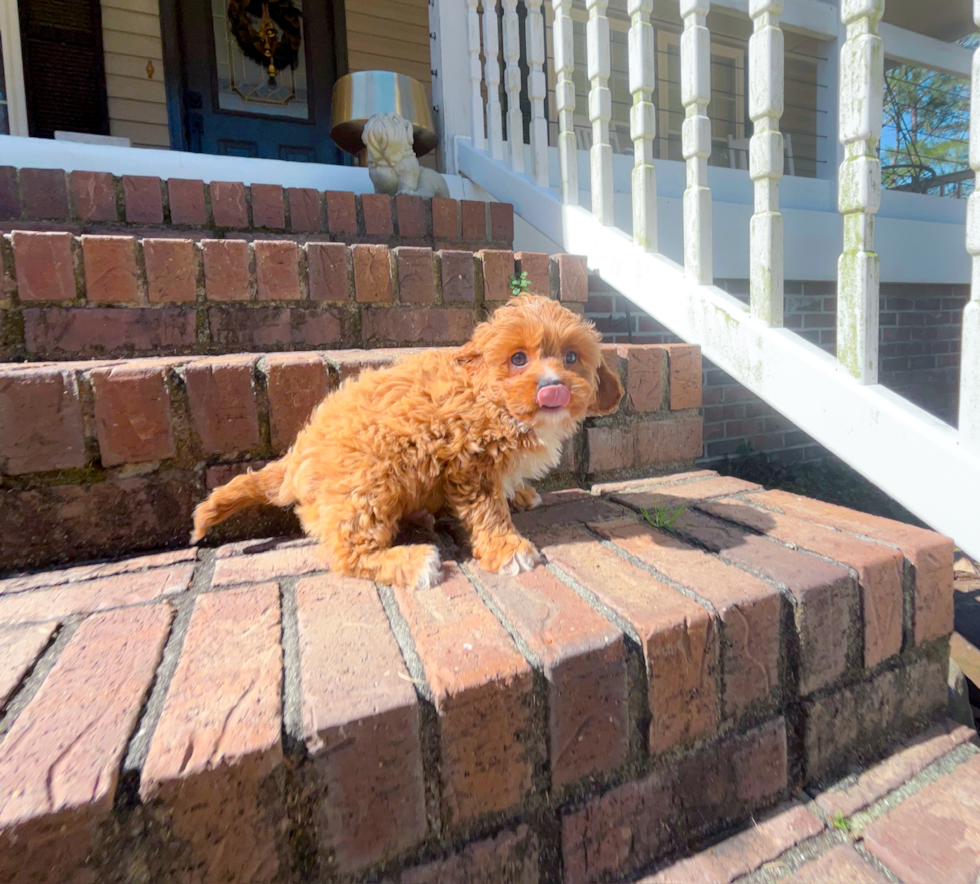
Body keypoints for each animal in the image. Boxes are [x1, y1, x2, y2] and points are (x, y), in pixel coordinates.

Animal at [190, 294, 620, 592]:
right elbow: (488, 511)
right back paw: (412, 562)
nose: (554, 388)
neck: (493, 399)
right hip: (371, 481)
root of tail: (294, 459)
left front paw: (521, 493)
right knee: (347, 551)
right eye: (518, 359)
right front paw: (507, 547)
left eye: (571, 357)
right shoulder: (471, 464)